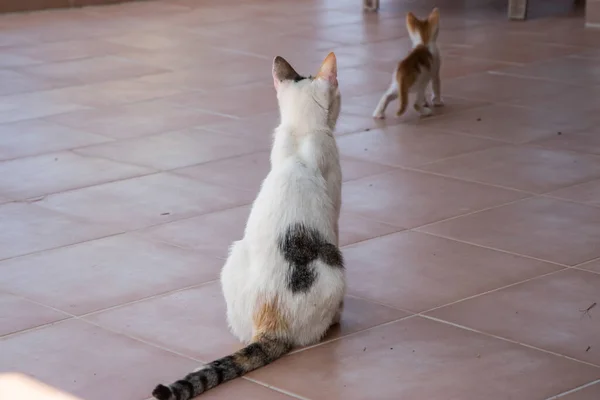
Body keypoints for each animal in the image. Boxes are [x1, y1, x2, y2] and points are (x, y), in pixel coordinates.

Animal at [152, 52, 344, 400]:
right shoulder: (335, 205)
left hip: (234, 257)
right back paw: (335, 320)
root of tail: (270, 320)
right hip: (333, 264)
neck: (301, 134)